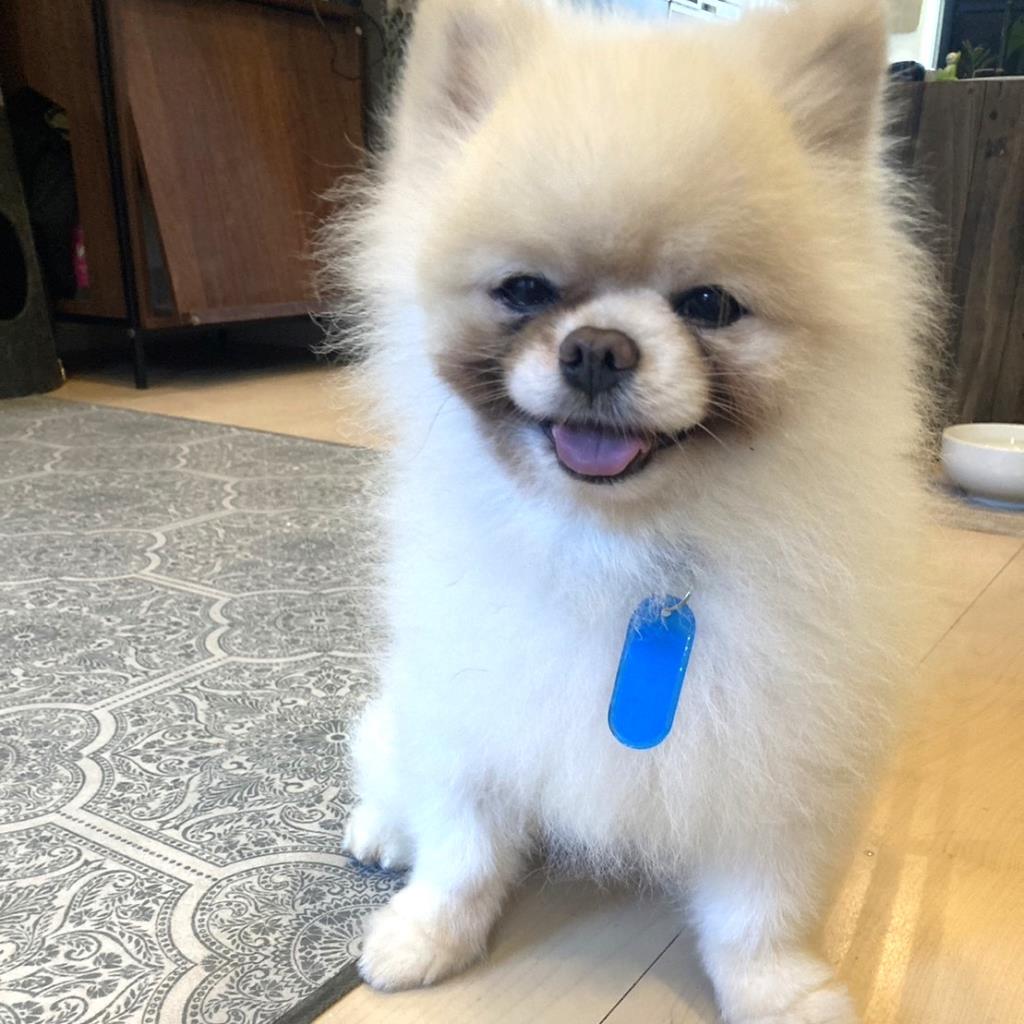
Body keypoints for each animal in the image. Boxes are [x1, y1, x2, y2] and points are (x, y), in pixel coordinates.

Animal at [325, 1, 935, 1020]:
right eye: (523, 290)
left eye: (710, 304)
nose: (598, 349)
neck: (621, 546)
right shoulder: (472, 709)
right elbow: (463, 848)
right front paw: (425, 935)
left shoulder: (781, 751)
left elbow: (757, 911)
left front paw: (777, 991)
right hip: (400, 708)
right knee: (389, 767)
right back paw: (381, 828)